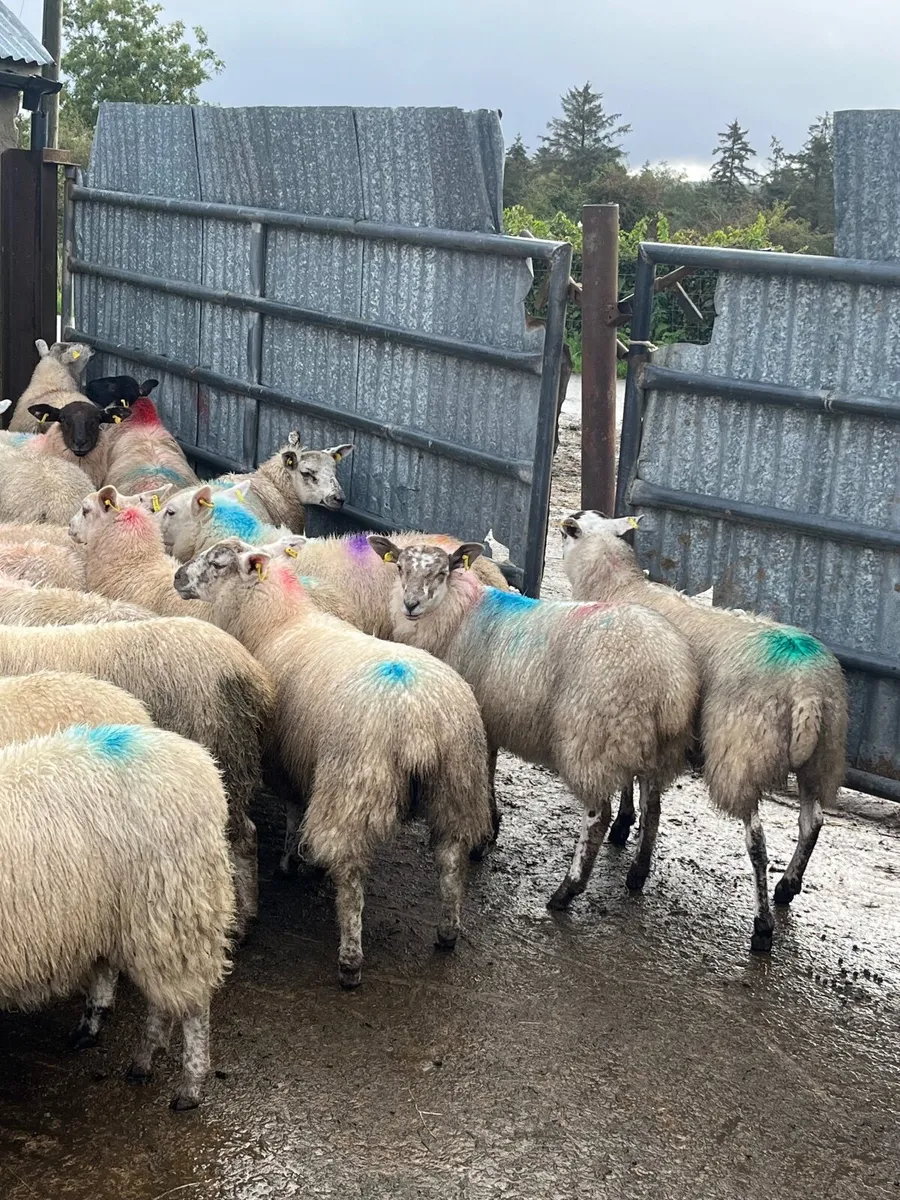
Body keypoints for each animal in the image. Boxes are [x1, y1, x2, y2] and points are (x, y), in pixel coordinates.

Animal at [0, 723, 234, 1109]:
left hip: (173, 909)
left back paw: (188, 1084)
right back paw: (141, 1057)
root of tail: (199, 762)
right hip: (138, 921)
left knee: (193, 1005)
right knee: (161, 999)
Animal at [174, 538, 493, 989]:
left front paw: (290, 862)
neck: (278, 621)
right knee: (451, 857)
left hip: (354, 782)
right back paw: (448, 932)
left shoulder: (282, 755)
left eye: (217, 563)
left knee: (351, 872)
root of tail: (420, 719)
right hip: (458, 781)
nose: (177, 576)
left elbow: (293, 808)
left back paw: (350, 959)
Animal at [368, 536, 699, 910]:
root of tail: (670, 677)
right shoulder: (492, 719)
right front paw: (491, 832)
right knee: (652, 808)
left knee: (599, 815)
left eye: (441, 572)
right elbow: (489, 774)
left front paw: (483, 838)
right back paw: (637, 875)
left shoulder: (481, 719)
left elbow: (485, 776)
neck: (460, 614)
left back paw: (566, 891)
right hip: (653, 746)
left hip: (593, 739)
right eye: (399, 567)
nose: (410, 604)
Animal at [559, 510, 849, 952]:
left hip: (741, 752)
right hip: (822, 758)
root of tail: (808, 691)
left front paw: (624, 828)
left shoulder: (626, 707)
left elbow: (633, 785)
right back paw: (787, 887)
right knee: (812, 823)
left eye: (570, 530)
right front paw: (628, 828)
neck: (619, 584)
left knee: (757, 841)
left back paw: (762, 926)